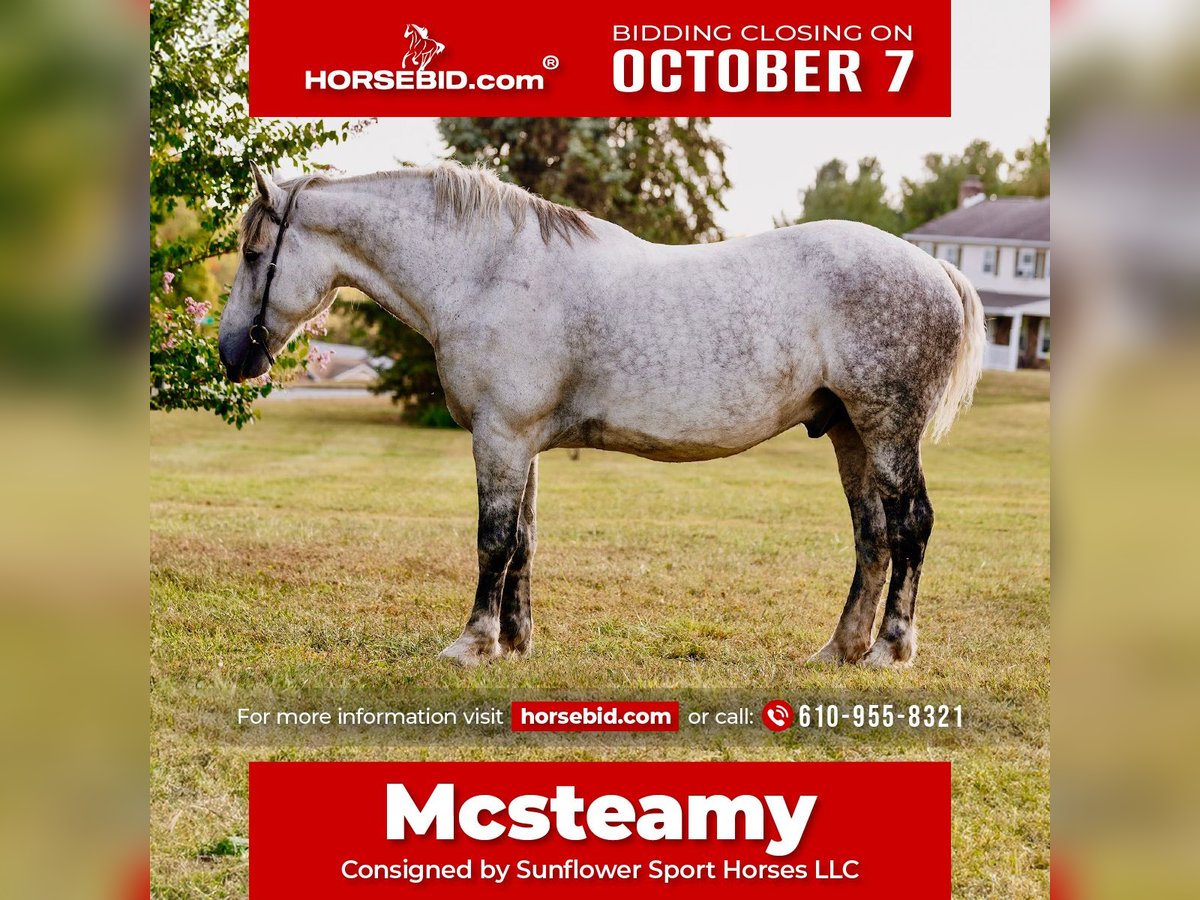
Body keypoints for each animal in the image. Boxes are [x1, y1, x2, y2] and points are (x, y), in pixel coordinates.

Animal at [218, 162, 984, 672]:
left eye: (254, 253)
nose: (231, 353)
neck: (486, 271)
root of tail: (936, 270)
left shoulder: (500, 437)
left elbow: (493, 542)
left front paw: (472, 643)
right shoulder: (520, 443)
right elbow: (523, 542)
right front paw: (515, 641)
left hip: (887, 429)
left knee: (910, 528)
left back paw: (889, 650)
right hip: (851, 432)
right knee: (873, 536)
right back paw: (841, 649)